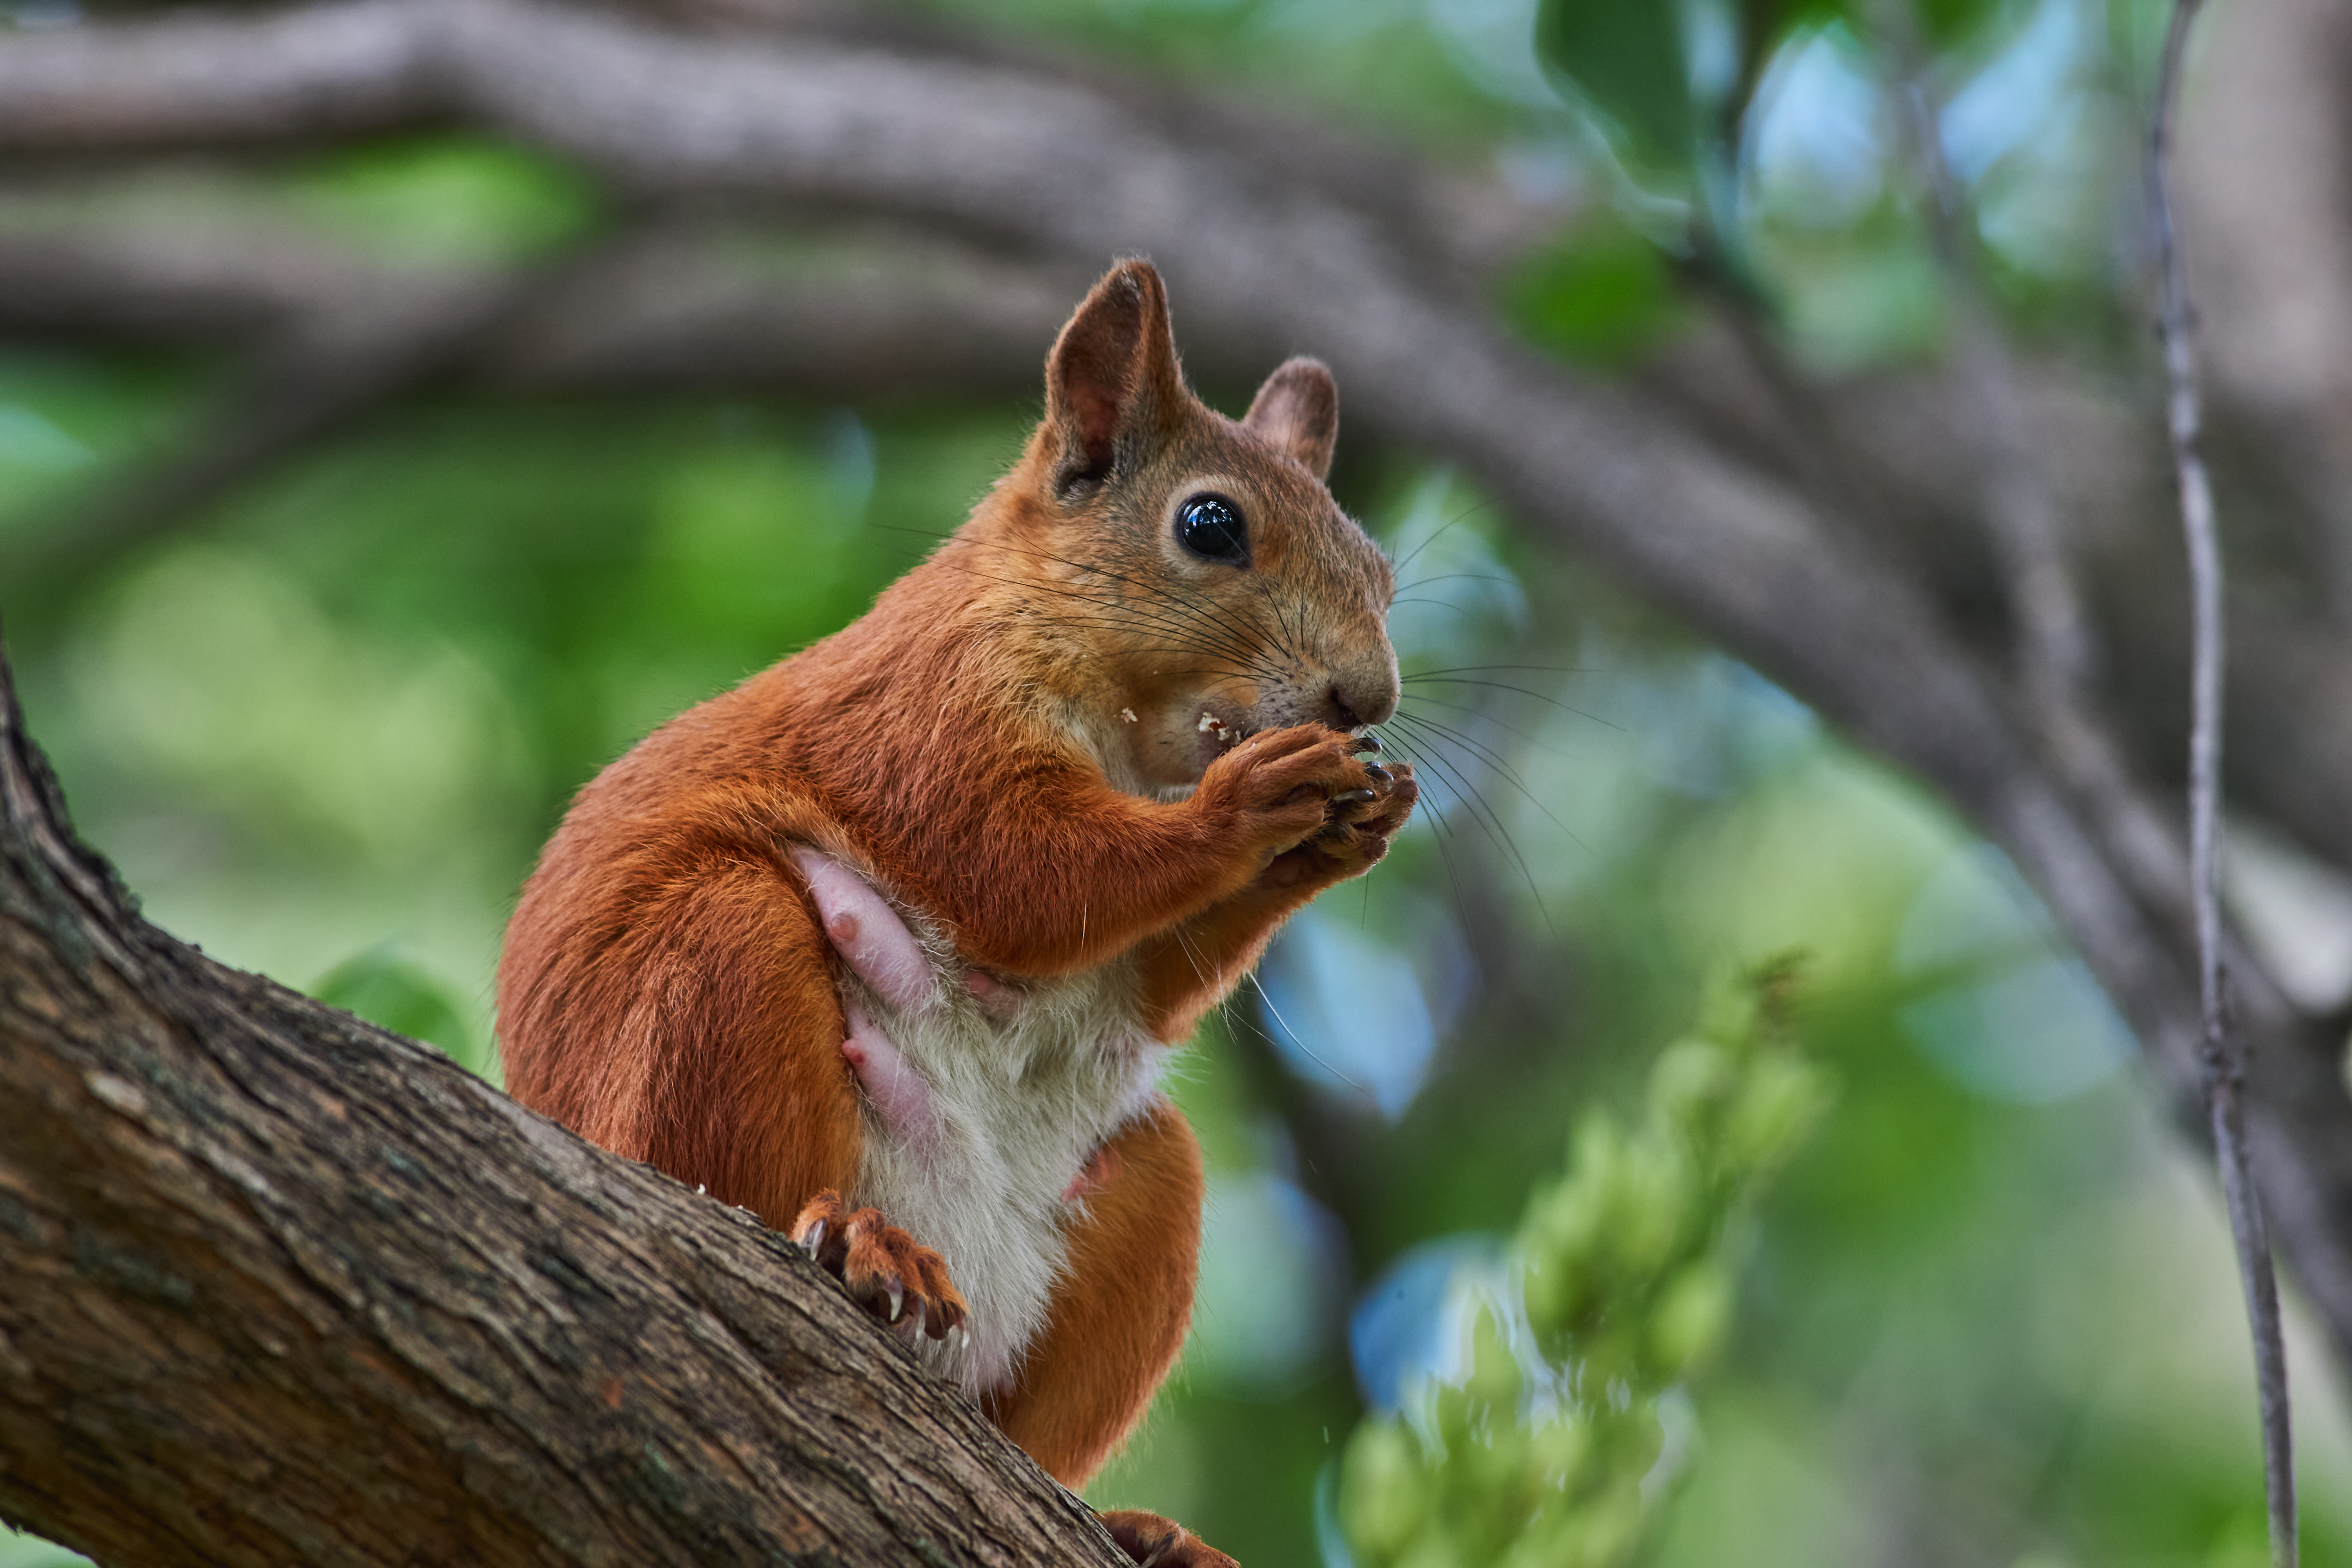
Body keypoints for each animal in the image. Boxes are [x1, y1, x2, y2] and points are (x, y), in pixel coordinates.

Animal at [496, 257, 1411, 1561]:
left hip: (1141, 1206)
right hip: (713, 970)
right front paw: (1249, 805)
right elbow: (1018, 871)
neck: (1136, 737)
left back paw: (1129, 1523)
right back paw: (853, 1245)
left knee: (1026, 1431)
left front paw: (1342, 833)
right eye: (1210, 525)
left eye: (1381, 573)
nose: (1364, 698)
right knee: (737, 1184)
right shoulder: (920, 716)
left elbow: (1150, 978)